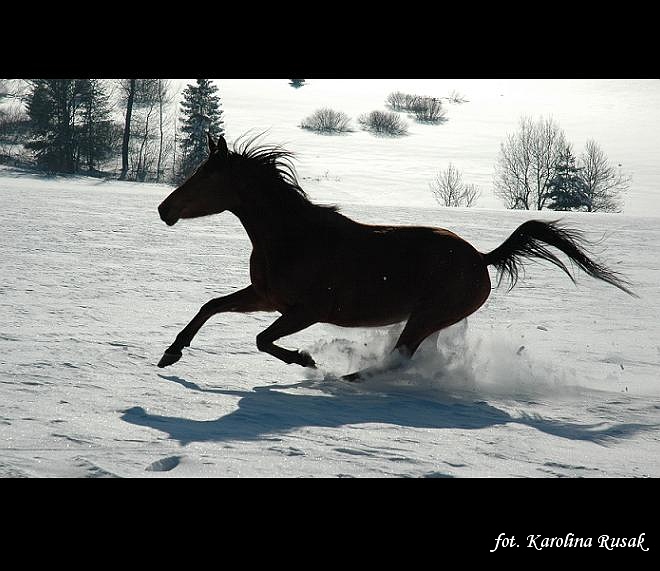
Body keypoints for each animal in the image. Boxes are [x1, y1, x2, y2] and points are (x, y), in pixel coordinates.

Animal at [155, 134, 636, 382]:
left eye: (204, 176)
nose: (164, 209)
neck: (292, 237)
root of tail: (482, 259)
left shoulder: (307, 310)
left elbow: (261, 340)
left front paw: (306, 360)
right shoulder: (266, 297)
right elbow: (210, 306)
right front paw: (170, 355)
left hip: (426, 316)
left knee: (399, 358)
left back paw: (352, 378)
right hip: (430, 320)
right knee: (409, 357)